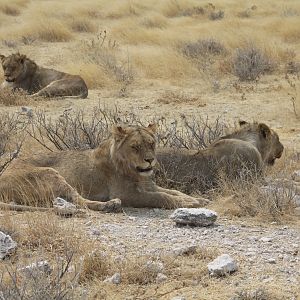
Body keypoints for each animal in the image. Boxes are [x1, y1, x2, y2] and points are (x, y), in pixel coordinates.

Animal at [0, 123, 209, 212]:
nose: (150, 160)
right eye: (135, 147)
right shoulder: (128, 194)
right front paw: (190, 203)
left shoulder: (149, 185)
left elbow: (173, 192)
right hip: (51, 174)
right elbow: (161, 197)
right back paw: (110, 205)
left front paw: (197, 199)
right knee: (80, 202)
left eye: (151, 144)